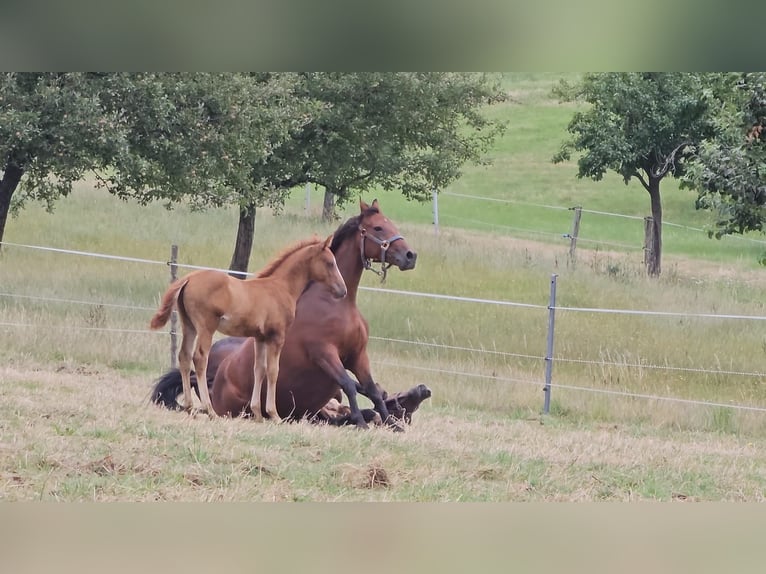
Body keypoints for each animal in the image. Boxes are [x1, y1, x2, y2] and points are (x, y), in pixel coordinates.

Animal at [148, 235, 346, 424]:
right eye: (330, 263)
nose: (342, 291)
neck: (280, 288)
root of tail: (189, 278)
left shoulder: (260, 338)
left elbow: (259, 369)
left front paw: (258, 413)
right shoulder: (277, 337)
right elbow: (273, 371)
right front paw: (274, 414)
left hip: (188, 325)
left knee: (184, 356)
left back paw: (190, 408)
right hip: (206, 327)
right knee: (199, 358)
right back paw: (210, 410)